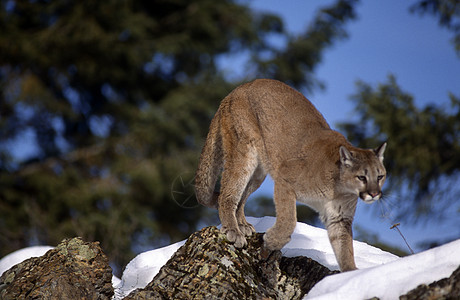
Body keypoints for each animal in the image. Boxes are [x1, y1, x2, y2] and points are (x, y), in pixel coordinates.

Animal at [192, 78, 386, 270]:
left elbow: (345, 249)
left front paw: (351, 274)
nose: (374, 193)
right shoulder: (284, 180)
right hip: (244, 153)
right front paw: (271, 242)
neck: (339, 188)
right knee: (227, 194)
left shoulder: (340, 218)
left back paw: (242, 225)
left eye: (380, 177)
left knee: (241, 197)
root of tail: (236, 90)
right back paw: (233, 230)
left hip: (259, 171)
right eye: (362, 177)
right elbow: (289, 220)